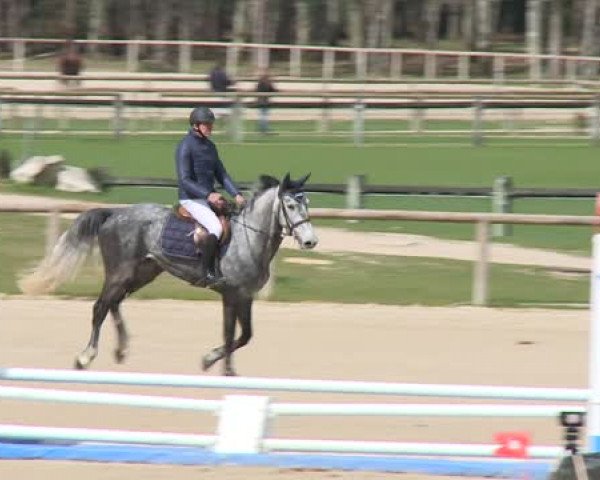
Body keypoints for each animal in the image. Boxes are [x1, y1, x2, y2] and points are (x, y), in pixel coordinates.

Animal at [17, 172, 318, 376]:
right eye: (291, 206)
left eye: (307, 203)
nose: (310, 241)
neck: (249, 238)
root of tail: (114, 214)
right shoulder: (231, 294)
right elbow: (230, 333)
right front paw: (220, 368)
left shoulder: (245, 296)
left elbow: (244, 336)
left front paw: (215, 363)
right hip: (120, 272)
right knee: (101, 306)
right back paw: (85, 357)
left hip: (142, 273)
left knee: (114, 303)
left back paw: (121, 350)